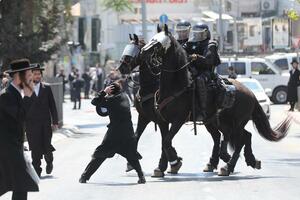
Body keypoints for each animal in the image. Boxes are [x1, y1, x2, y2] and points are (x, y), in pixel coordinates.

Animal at [118, 34, 183, 177]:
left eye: (134, 50)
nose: (121, 68)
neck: (150, 87)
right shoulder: (144, 117)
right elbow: (136, 136)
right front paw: (130, 162)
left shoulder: (161, 119)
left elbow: (164, 141)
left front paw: (166, 164)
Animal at [142, 24, 292, 176]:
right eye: (152, 38)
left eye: (158, 42)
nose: (143, 52)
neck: (175, 85)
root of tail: (250, 93)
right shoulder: (163, 121)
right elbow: (164, 142)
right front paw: (163, 166)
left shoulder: (178, 120)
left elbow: (167, 142)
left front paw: (175, 162)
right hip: (217, 121)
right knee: (238, 136)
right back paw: (240, 161)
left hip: (236, 123)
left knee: (239, 140)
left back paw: (228, 166)